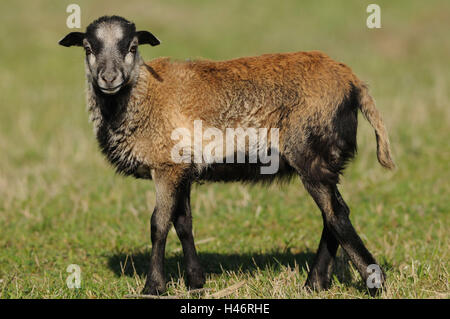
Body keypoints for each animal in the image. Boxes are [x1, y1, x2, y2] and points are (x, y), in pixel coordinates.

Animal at [59, 15, 394, 298]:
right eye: (88, 48)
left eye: (131, 47)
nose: (109, 78)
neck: (143, 95)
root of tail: (353, 83)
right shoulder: (183, 167)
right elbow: (183, 223)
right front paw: (196, 283)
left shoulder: (166, 166)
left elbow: (158, 224)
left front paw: (153, 287)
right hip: (325, 158)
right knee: (333, 214)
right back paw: (314, 284)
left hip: (310, 152)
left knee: (337, 215)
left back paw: (373, 282)